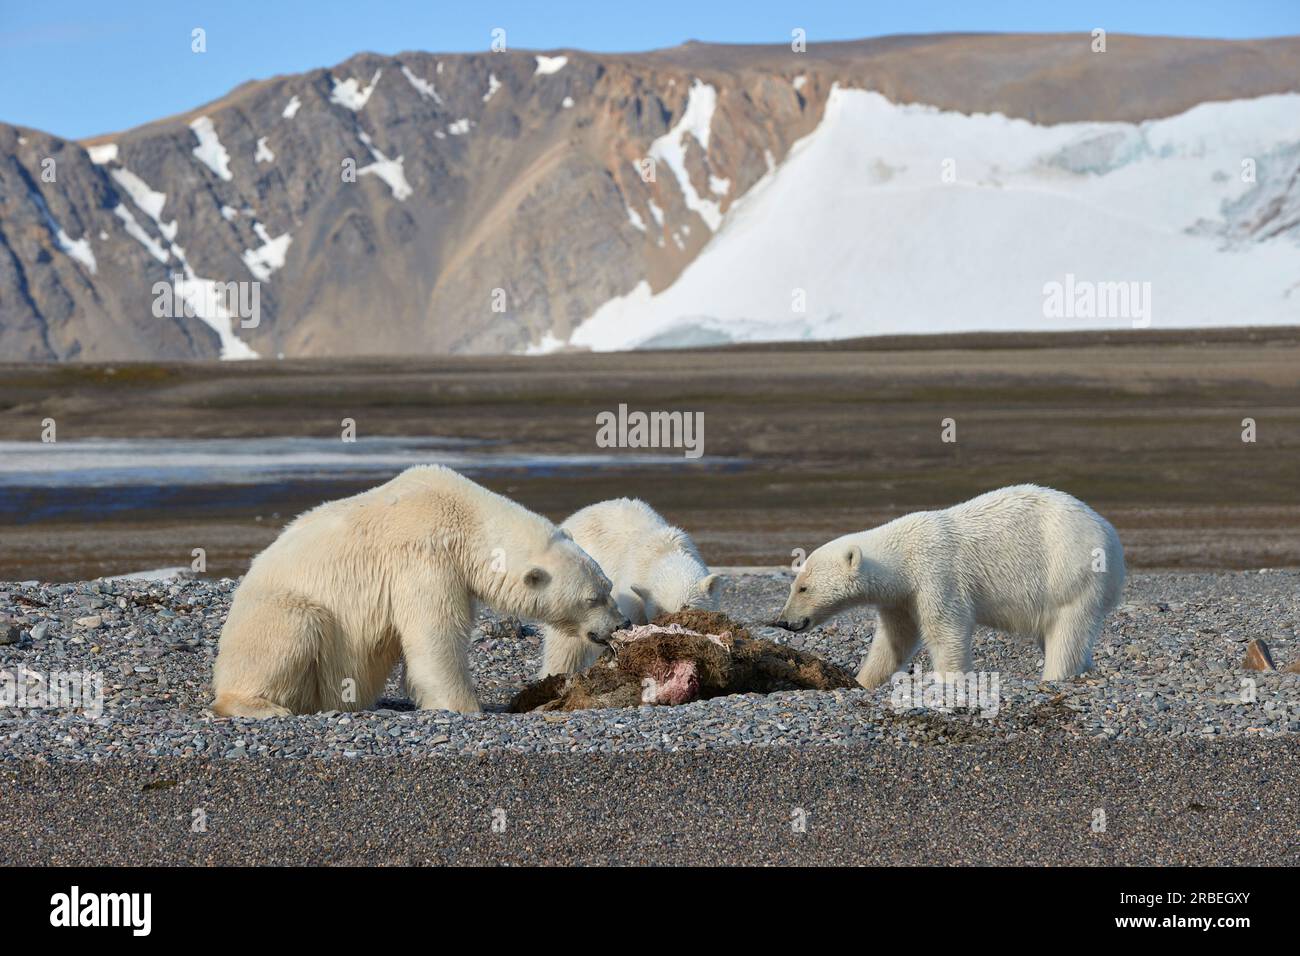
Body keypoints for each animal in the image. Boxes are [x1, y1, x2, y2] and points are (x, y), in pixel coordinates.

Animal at [211, 463, 624, 717]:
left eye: (609, 585)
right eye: (593, 597)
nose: (619, 625)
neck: (464, 518)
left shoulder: (458, 575)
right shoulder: (424, 560)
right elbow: (436, 634)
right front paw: (464, 706)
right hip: (275, 610)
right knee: (293, 627)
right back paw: (261, 705)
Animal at [538, 496, 722, 676]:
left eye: (686, 606)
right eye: (661, 611)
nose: (675, 629)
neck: (664, 550)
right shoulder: (633, 595)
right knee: (565, 646)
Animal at [769, 486, 1128, 686]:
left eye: (803, 588)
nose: (784, 622)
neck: (903, 553)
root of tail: (1111, 536)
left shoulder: (936, 574)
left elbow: (945, 629)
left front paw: (949, 678)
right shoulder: (901, 597)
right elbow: (895, 639)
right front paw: (863, 680)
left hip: (1070, 572)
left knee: (1066, 633)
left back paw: (1055, 676)